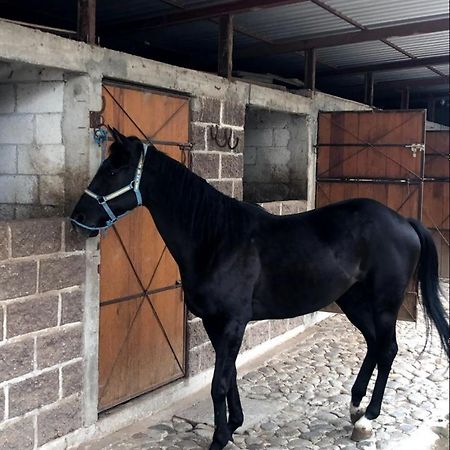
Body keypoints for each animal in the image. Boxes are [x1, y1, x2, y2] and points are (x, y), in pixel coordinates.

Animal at [72, 130, 448, 450]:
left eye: (112, 170)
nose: (78, 218)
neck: (218, 239)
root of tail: (403, 222)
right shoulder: (215, 323)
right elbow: (230, 374)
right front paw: (234, 423)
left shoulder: (233, 322)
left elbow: (219, 383)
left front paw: (219, 437)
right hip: (352, 301)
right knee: (373, 345)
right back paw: (355, 408)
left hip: (384, 304)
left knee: (387, 350)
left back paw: (368, 419)